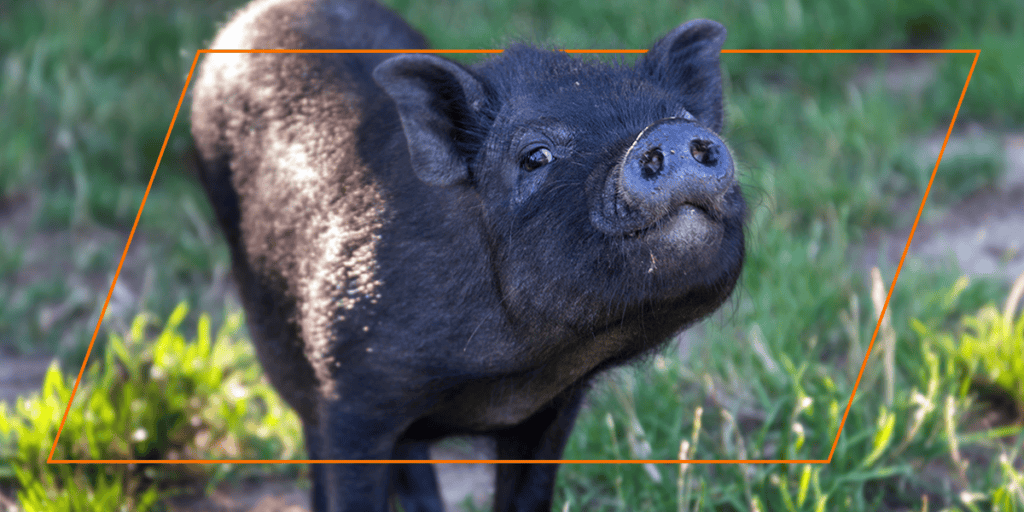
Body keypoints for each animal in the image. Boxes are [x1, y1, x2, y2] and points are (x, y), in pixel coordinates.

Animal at [189, 0, 745, 510]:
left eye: (684, 116)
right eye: (535, 156)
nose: (668, 131)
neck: (508, 375)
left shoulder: (551, 410)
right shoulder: (348, 395)